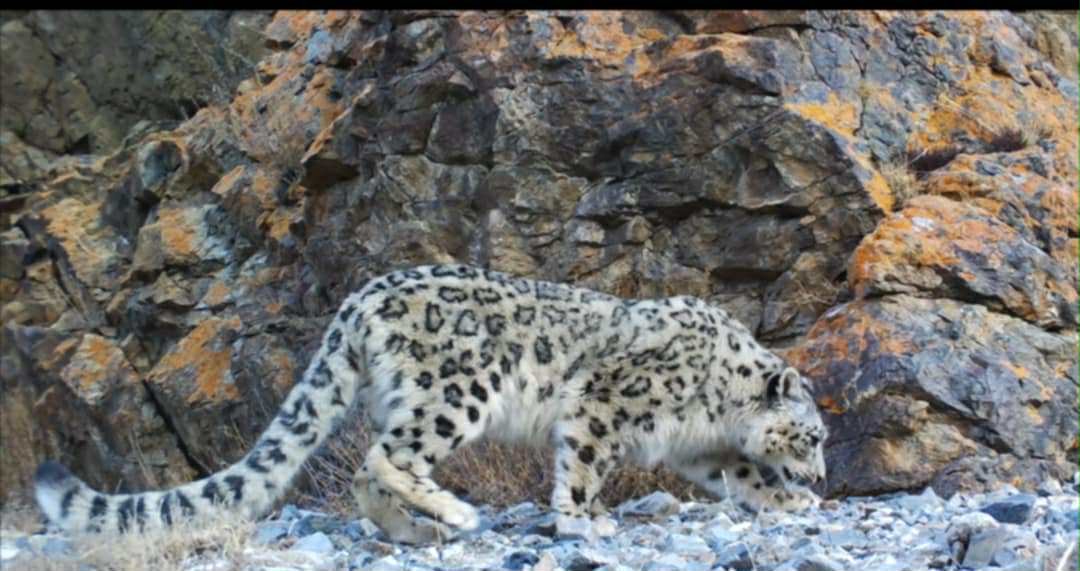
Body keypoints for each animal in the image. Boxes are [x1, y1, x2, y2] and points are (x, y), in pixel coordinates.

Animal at [35, 263, 828, 543]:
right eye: (815, 437)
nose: (822, 473)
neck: (720, 404)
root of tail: (361, 296)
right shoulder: (602, 404)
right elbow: (581, 464)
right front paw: (582, 518)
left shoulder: (704, 447)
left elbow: (746, 477)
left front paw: (795, 502)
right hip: (457, 390)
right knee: (387, 457)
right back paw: (454, 511)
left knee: (365, 470)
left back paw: (411, 532)